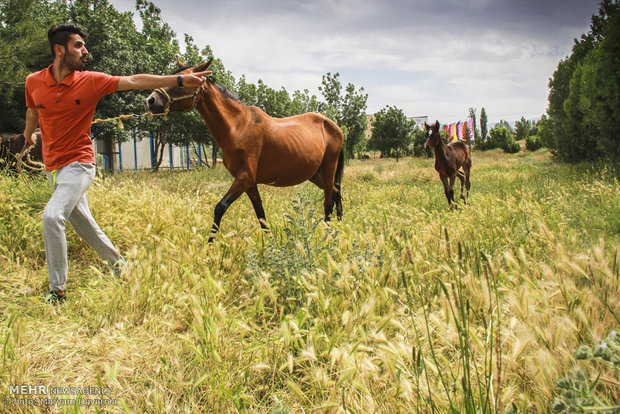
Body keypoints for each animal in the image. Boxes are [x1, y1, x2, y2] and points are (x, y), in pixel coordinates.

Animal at [146, 61, 346, 243]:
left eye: (182, 81)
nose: (151, 100)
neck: (237, 126)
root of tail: (334, 126)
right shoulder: (249, 183)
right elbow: (261, 215)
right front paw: (272, 247)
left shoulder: (244, 178)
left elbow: (220, 207)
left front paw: (209, 248)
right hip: (315, 174)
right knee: (336, 193)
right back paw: (339, 226)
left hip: (328, 169)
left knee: (328, 201)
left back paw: (328, 234)